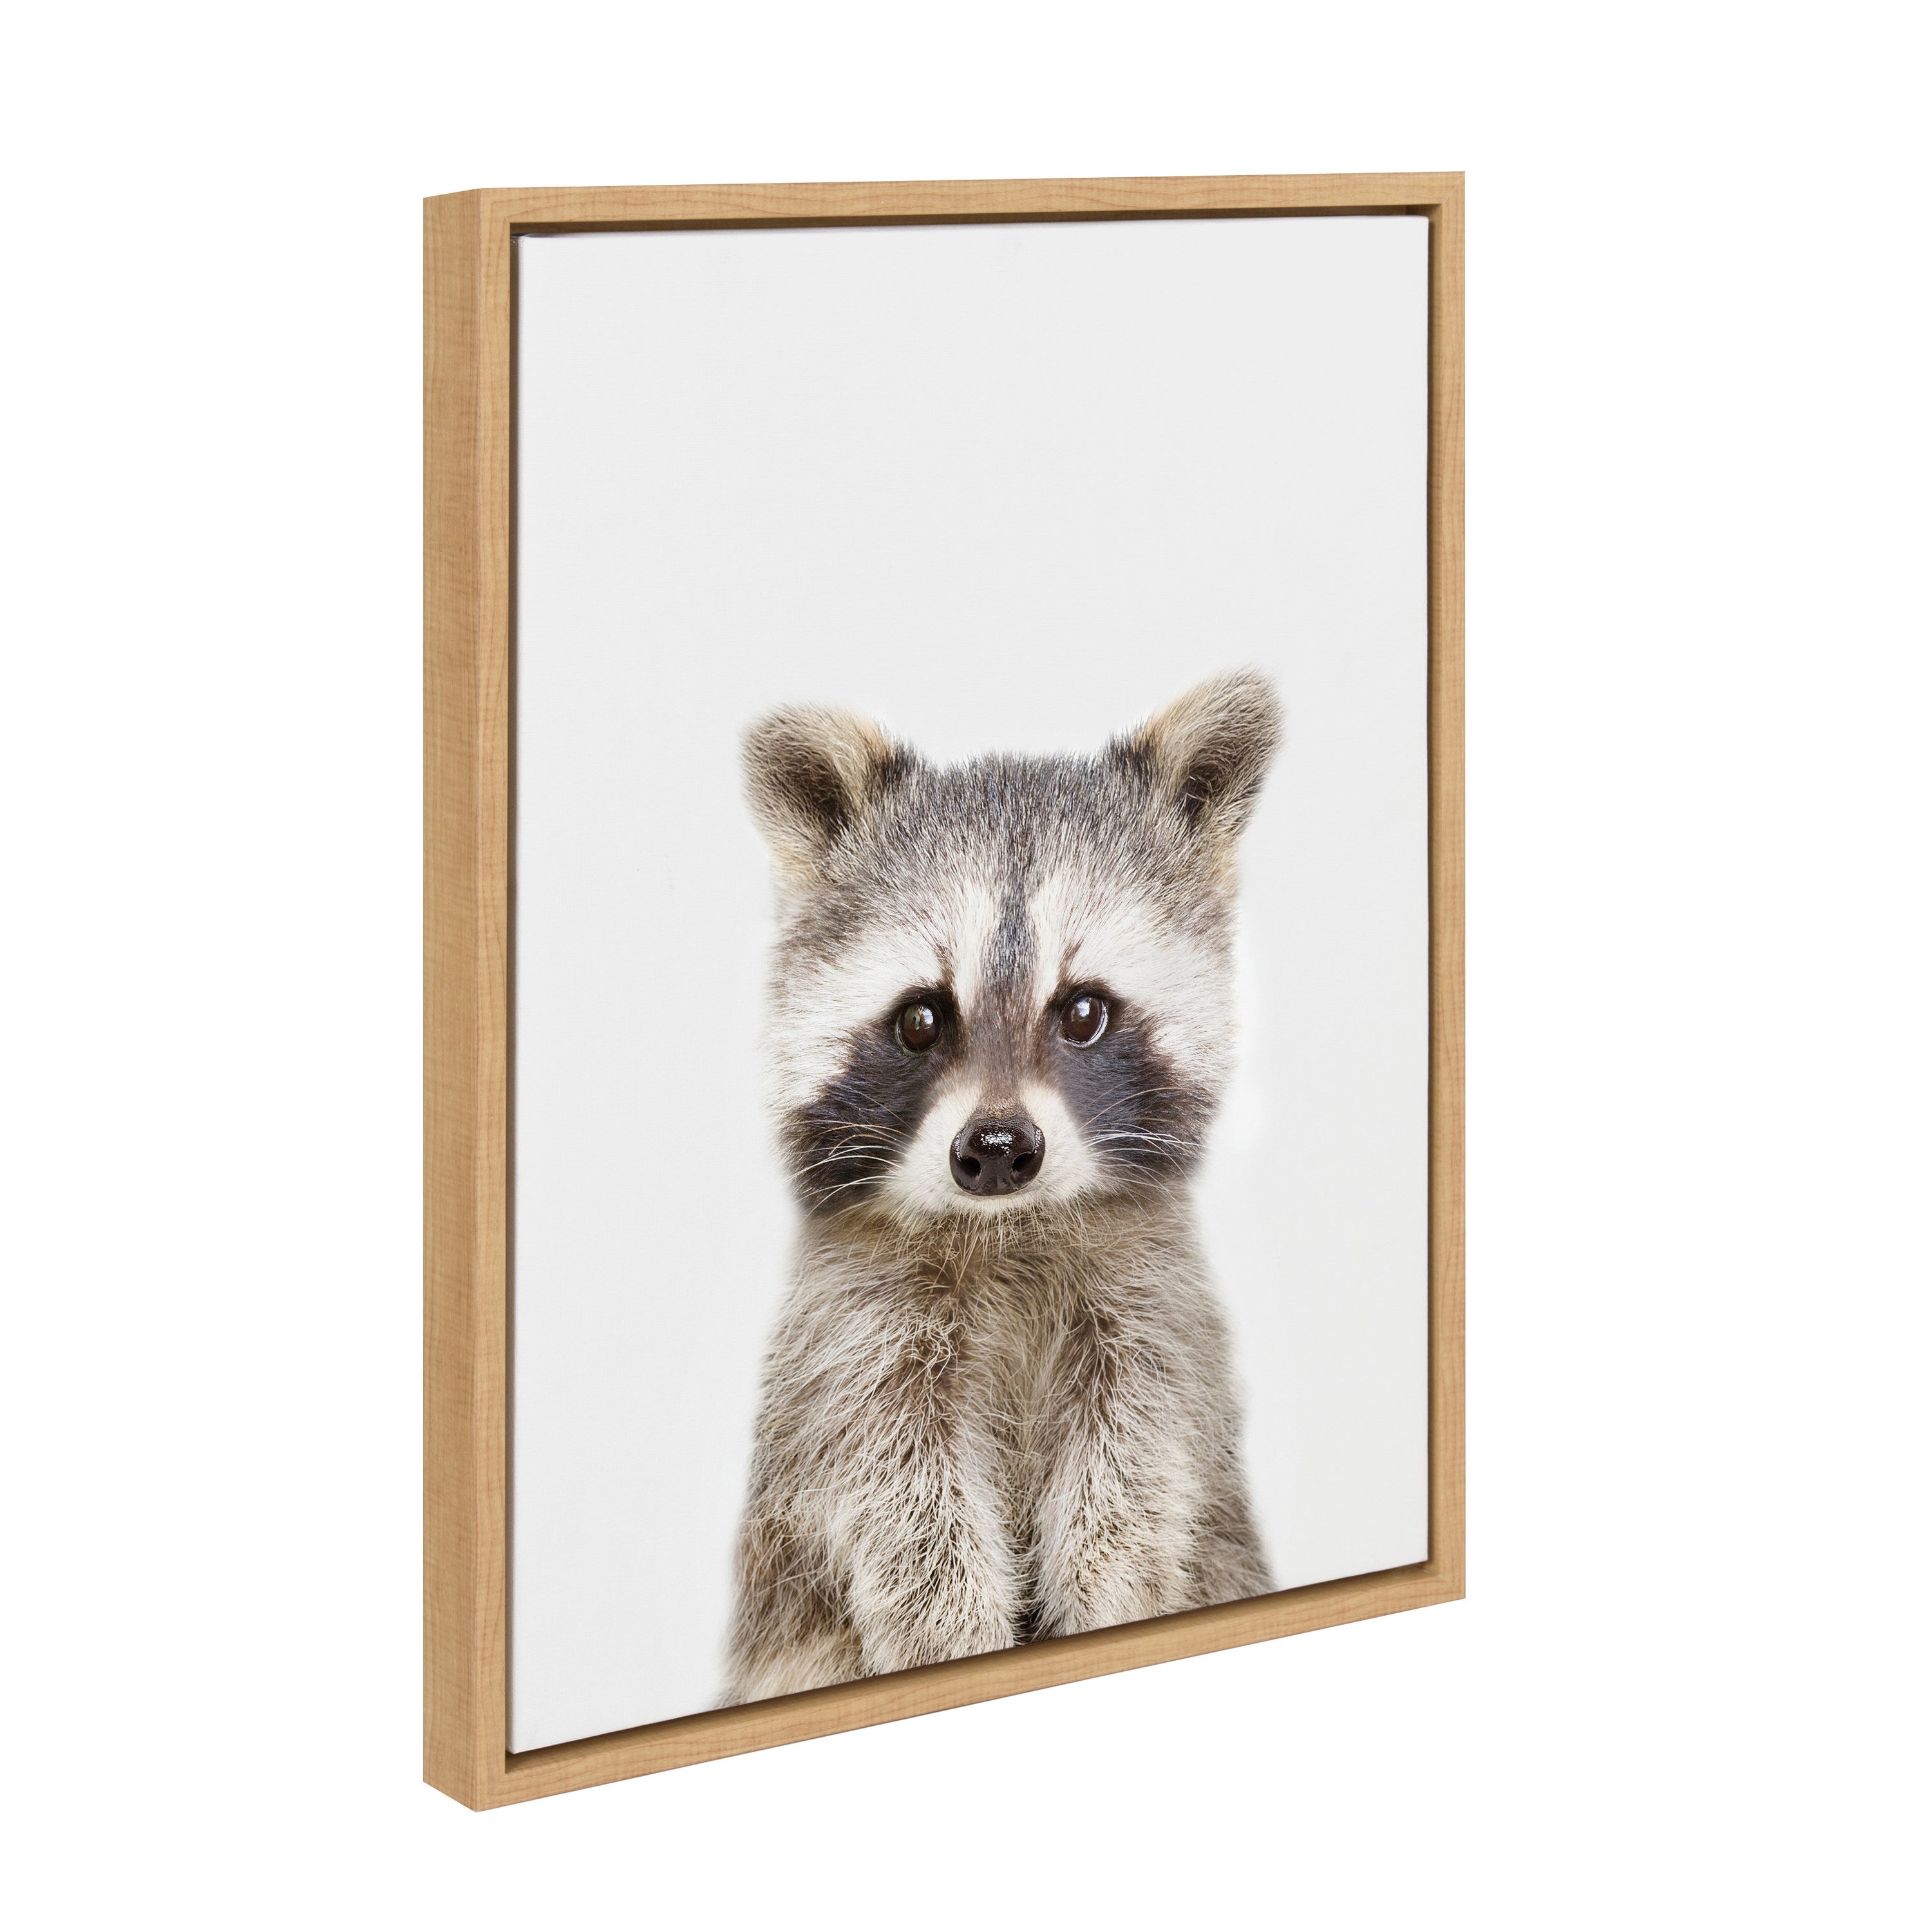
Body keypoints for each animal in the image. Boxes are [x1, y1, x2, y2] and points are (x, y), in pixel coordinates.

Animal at [722, 669, 1281, 1706]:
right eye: (920, 1018)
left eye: (1086, 1010)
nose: (994, 1149)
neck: (1010, 1228)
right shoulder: (853, 1338)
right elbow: (903, 1504)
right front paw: (949, 1639)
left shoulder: (1152, 1312)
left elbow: (1135, 1477)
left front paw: (1108, 1598)